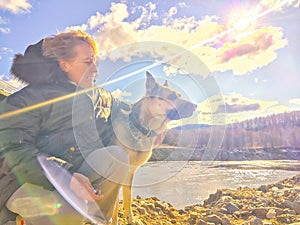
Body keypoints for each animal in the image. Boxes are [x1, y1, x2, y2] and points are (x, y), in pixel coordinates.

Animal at [108, 71, 197, 224]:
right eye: (171, 96)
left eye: (179, 95)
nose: (195, 105)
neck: (140, 128)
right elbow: (114, 205)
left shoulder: (129, 174)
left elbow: (127, 199)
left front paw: (131, 220)